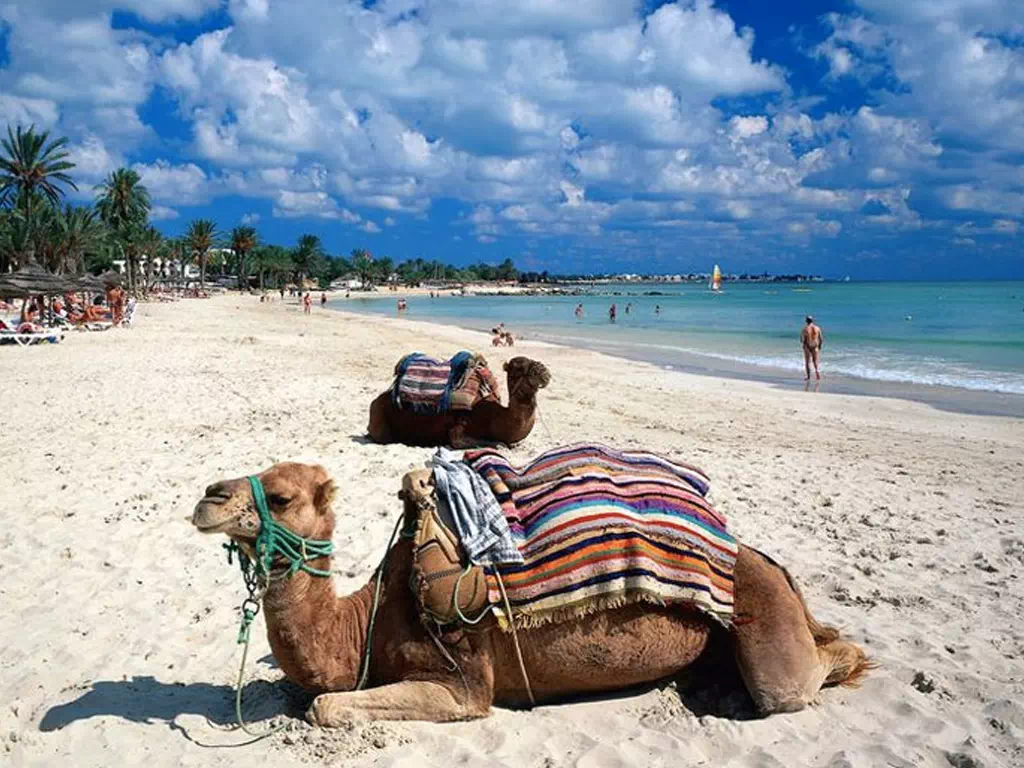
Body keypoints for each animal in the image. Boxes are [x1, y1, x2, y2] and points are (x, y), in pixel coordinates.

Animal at [193, 462, 872, 729]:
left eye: (281, 497)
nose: (208, 496)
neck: (363, 625)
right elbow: (308, 696)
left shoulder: (464, 685)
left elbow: (324, 706)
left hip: (764, 610)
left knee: (793, 684)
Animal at [366, 356, 552, 448]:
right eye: (519, 367)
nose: (543, 370)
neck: (495, 417)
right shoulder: (461, 425)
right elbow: (461, 440)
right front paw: (499, 444)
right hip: (379, 422)